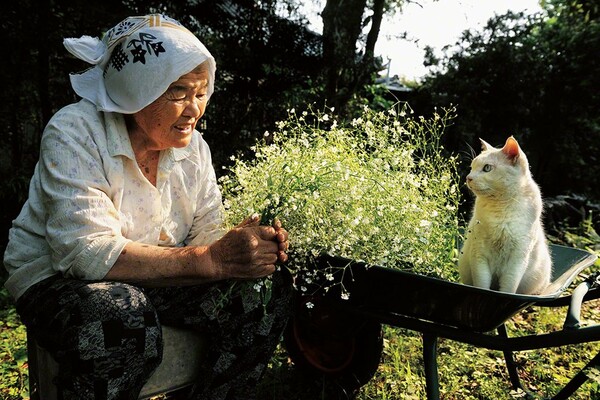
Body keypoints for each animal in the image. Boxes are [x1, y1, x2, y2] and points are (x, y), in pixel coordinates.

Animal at [460, 136, 552, 296]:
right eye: (472, 167)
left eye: (487, 168)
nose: (468, 178)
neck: (500, 208)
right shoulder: (479, 254)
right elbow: (482, 285)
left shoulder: (518, 258)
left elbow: (509, 288)